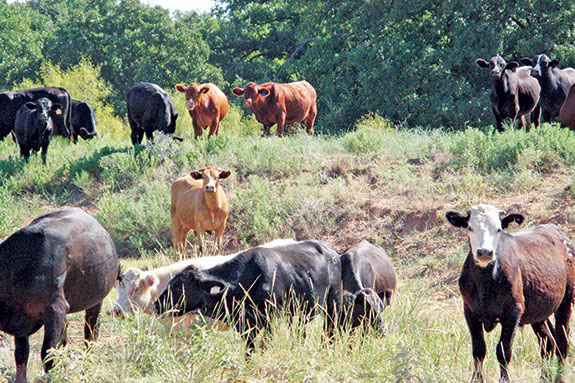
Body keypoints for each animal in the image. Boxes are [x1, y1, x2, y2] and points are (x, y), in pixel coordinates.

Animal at [0, 210, 118, 383]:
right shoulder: (22, 319)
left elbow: (48, 353)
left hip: (95, 302)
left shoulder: (55, 309)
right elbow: (21, 354)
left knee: (90, 334)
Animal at [153, 240, 342, 352]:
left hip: (332, 302)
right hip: (298, 313)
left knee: (329, 328)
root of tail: (331, 251)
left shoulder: (269, 320)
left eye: (178, 286)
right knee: (300, 330)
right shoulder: (245, 327)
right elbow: (249, 350)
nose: (156, 305)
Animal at [446, 206, 575, 382]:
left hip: (566, 300)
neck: (486, 282)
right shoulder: (470, 311)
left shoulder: (513, 312)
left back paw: (558, 377)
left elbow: (503, 350)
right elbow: (479, 350)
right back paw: (545, 376)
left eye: (498, 229)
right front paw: (477, 379)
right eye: (470, 227)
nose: (485, 252)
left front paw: (504, 379)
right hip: (537, 311)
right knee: (548, 340)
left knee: (562, 341)